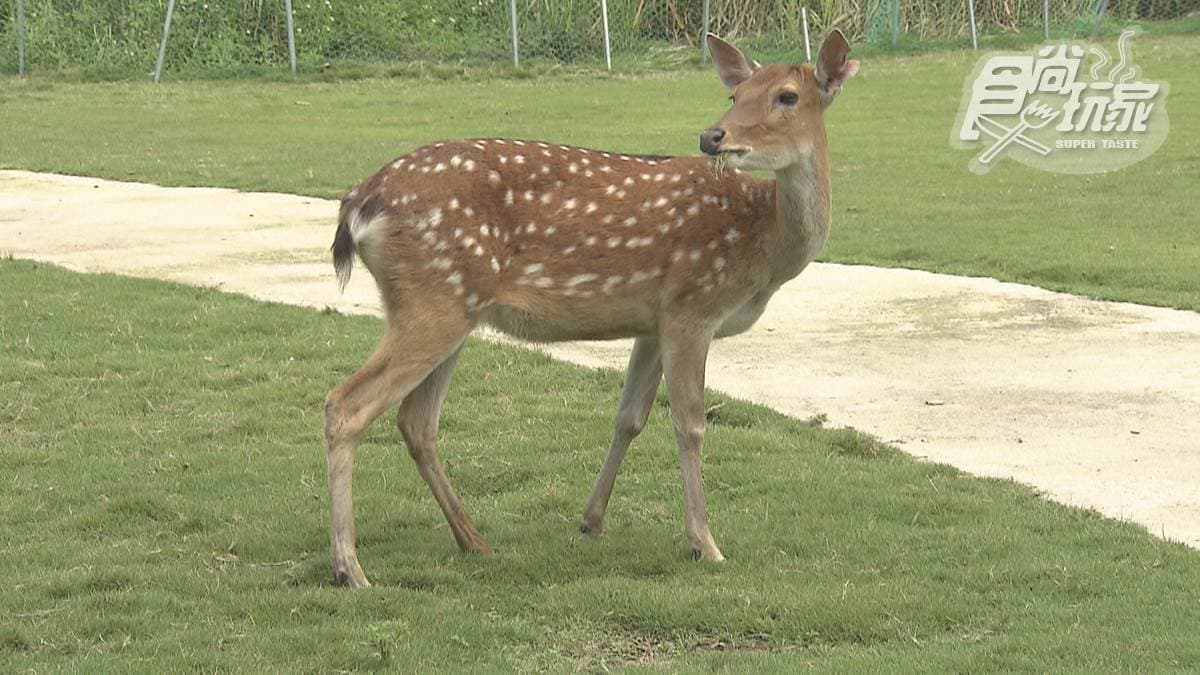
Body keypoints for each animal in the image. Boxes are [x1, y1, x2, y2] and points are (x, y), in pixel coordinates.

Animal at [323, 31, 859, 587]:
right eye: (736, 94)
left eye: (786, 96)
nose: (713, 136)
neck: (764, 245)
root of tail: (358, 203)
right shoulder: (692, 305)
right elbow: (689, 423)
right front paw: (705, 543)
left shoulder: (652, 322)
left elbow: (629, 418)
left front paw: (591, 520)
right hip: (433, 299)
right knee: (346, 404)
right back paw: (350, 567)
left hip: (449, 306)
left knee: (416, 421)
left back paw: (473, 540)